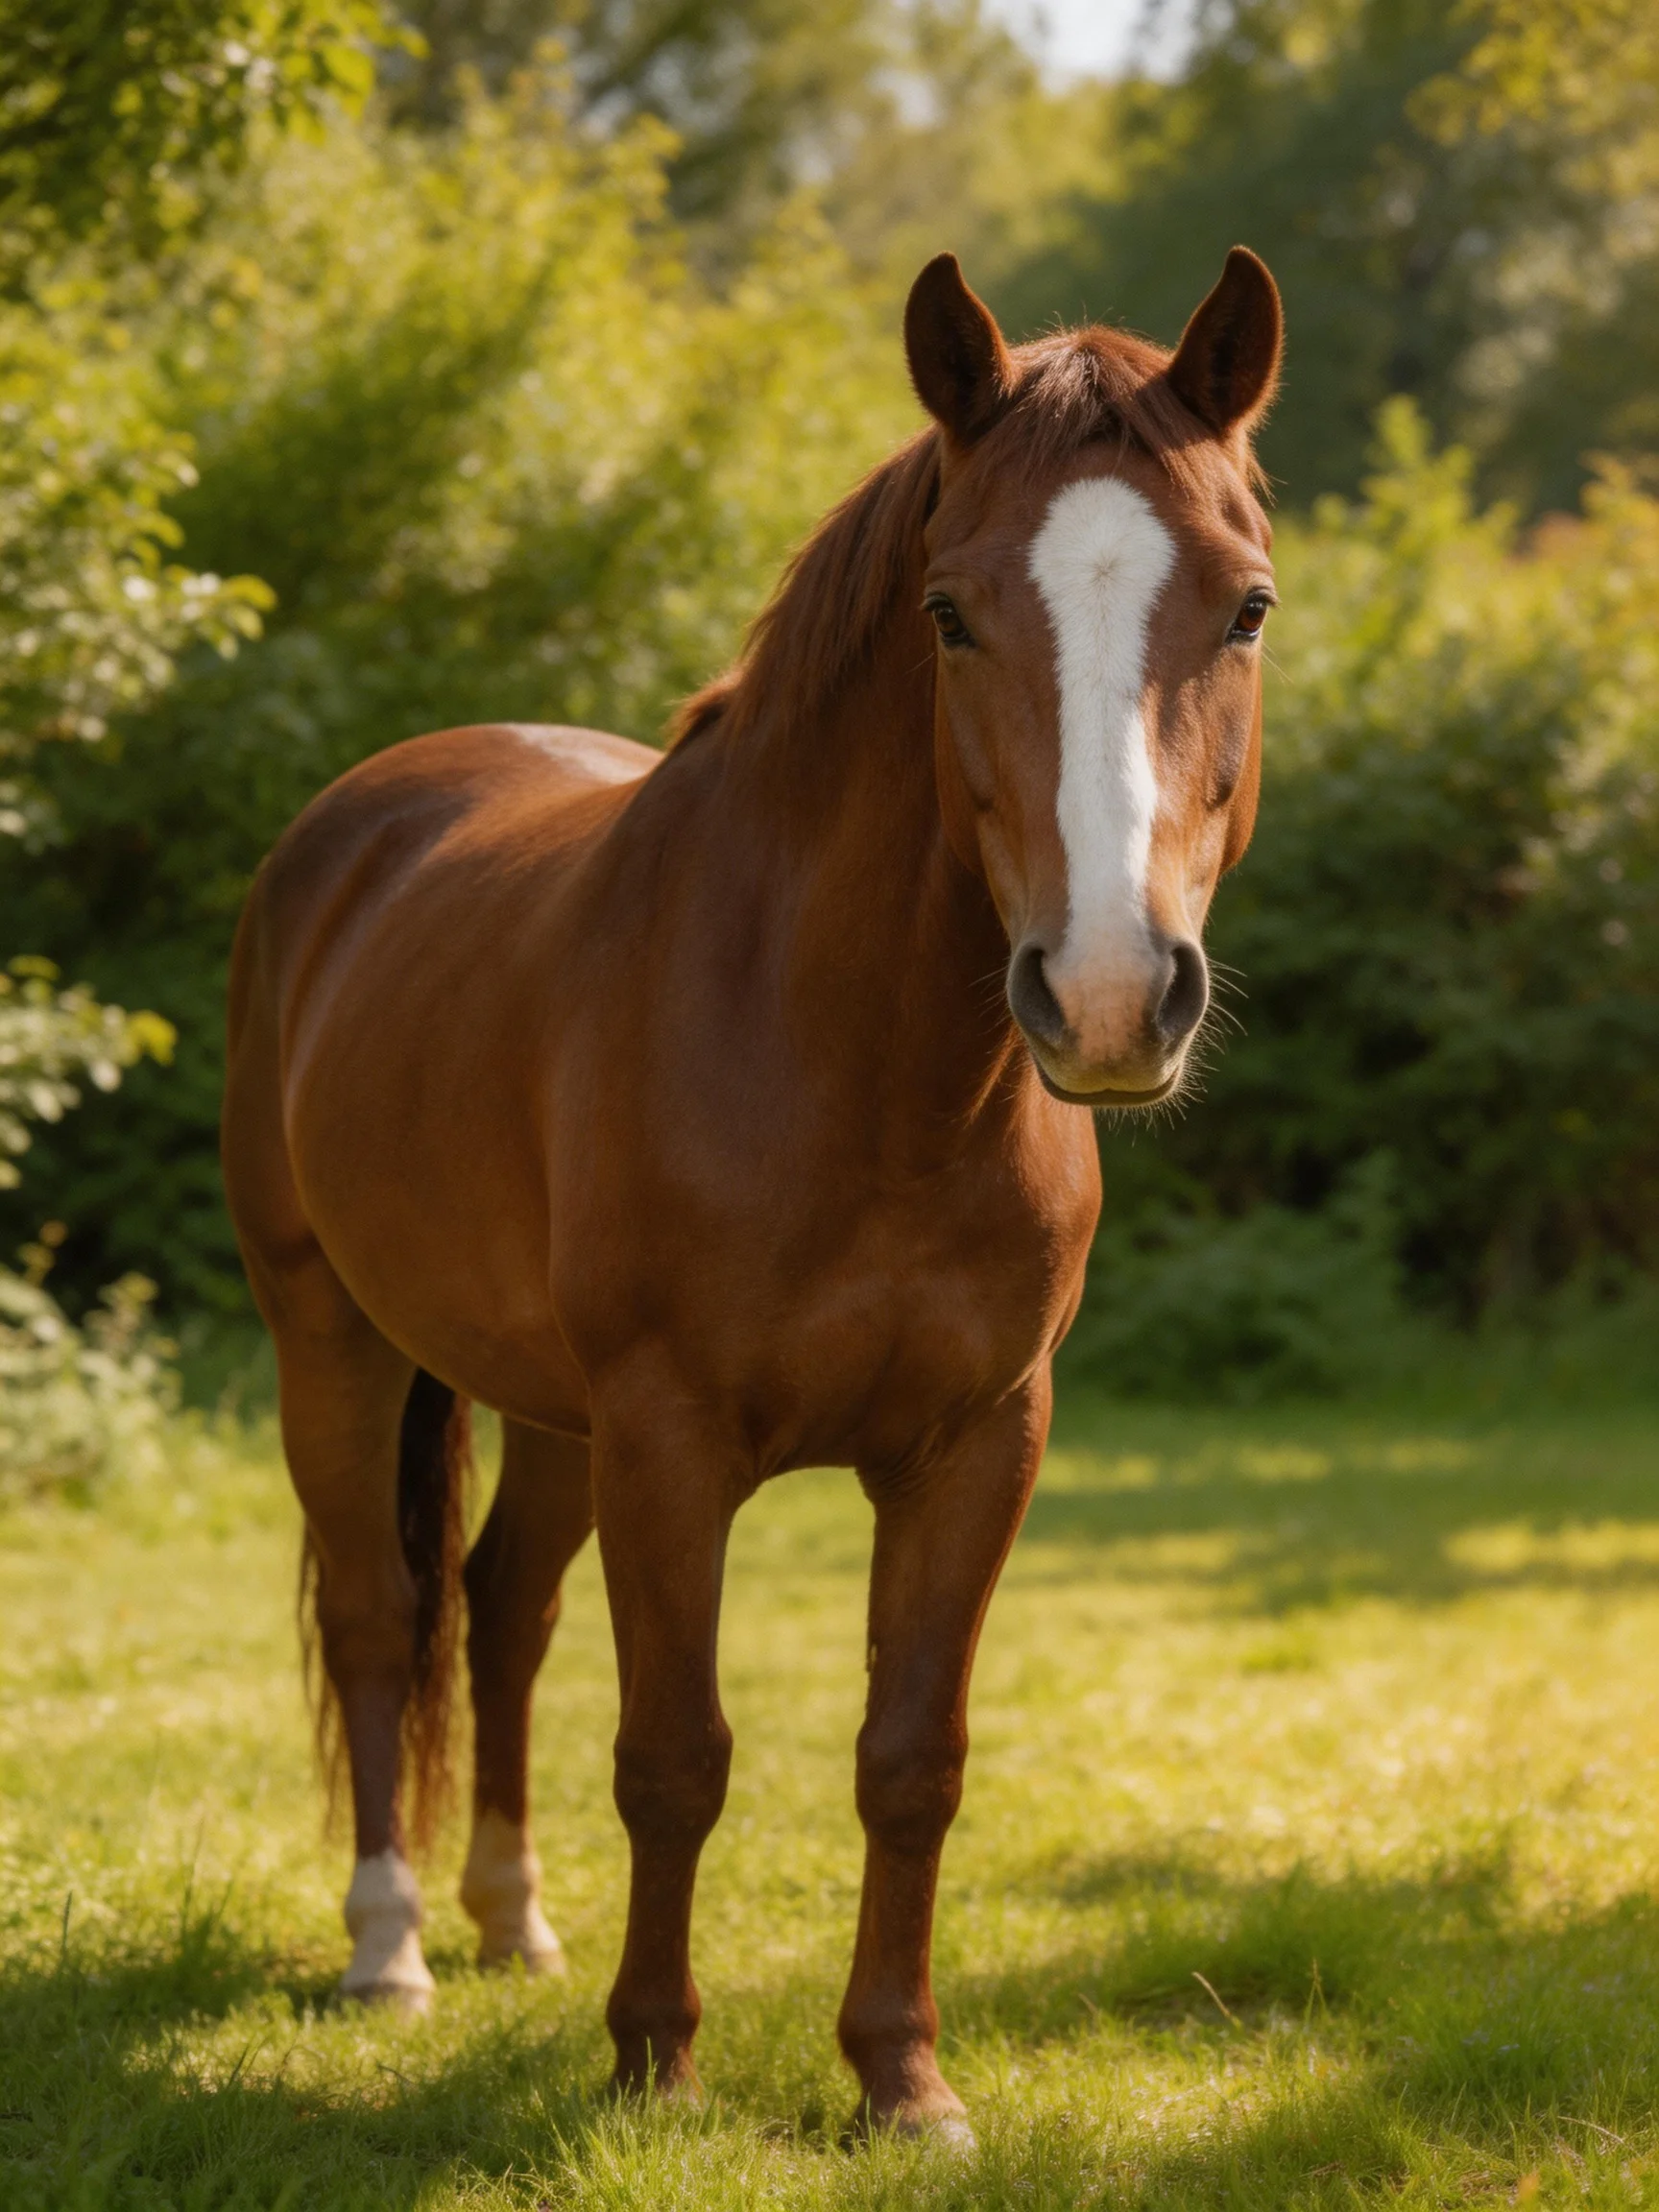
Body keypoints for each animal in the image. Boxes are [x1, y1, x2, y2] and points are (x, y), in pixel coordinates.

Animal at [221, 245, 1282, 2139]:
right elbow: (675, 1753)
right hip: (327, 1337)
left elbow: (909, 1760)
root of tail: (348, 829)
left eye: (1241, 608)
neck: (854, 1071)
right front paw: (655, 2061)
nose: (1103, 993)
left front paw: (901, 2079)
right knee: (379, 1614)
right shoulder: (670, 1439)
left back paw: (512, 1923)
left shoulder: (977, 1443)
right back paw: (390, 1948)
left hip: (541, 1408)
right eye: (949, 612)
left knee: (500, 1609)